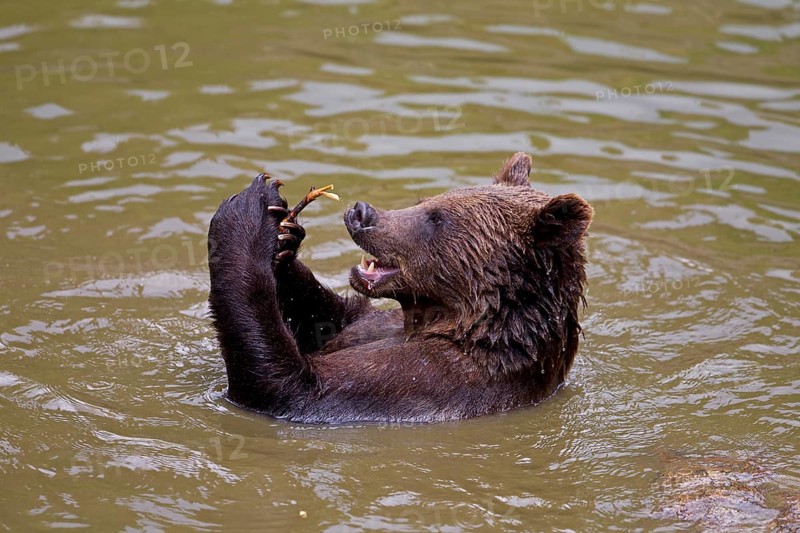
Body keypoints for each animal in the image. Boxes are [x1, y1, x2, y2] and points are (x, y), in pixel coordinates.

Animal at [207, 152, 593, 423]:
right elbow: (330, 319)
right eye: (425, 200)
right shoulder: (374, 324)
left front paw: (249, 208)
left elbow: (285, 385)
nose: (362, 212)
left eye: (437, 218)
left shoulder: (427, 380)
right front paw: (284, 238)